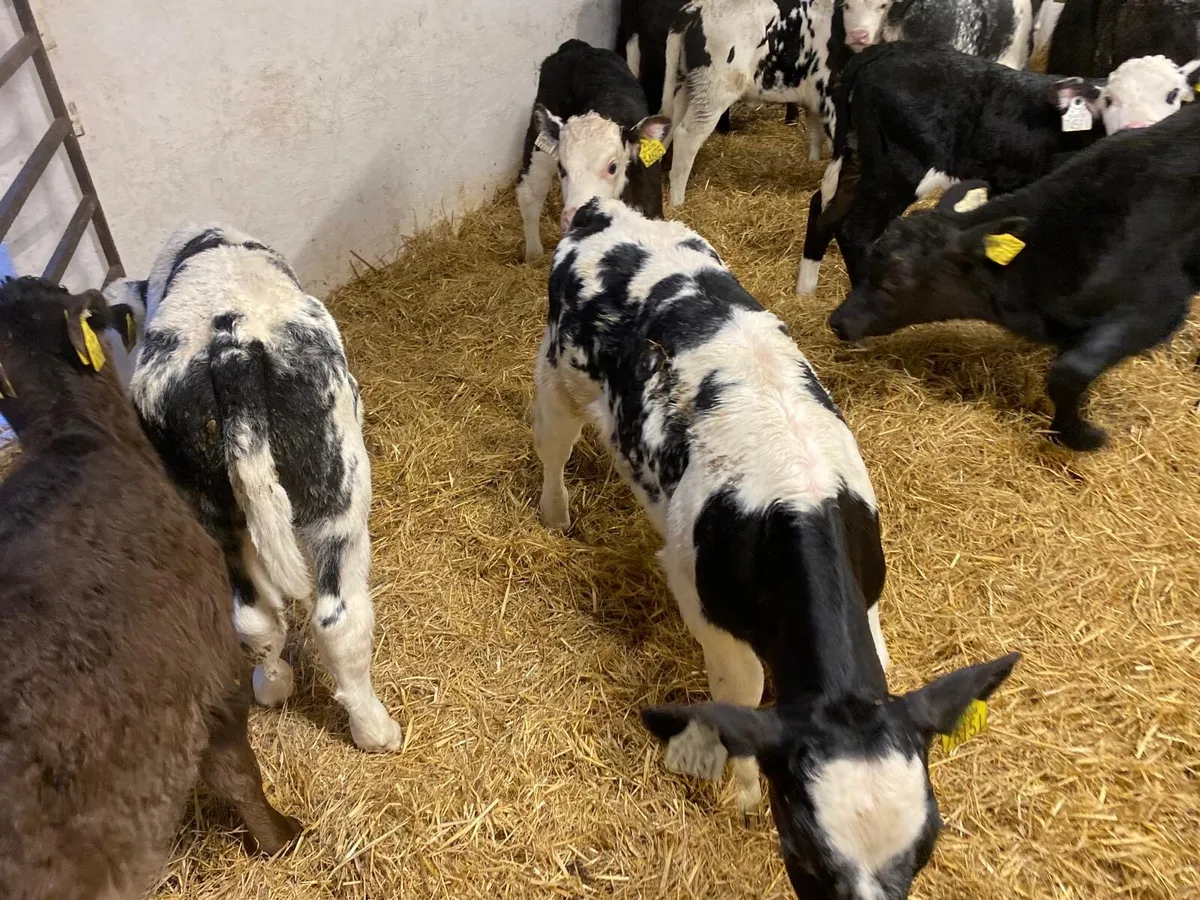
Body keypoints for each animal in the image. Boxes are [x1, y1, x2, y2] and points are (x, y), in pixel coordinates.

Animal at [107, 224, 405, 753]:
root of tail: (231, 346)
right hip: (336, 485)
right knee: (339, 618)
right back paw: (375, 730)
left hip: (204, 504)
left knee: (253, 619)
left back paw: (272, 686)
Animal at [517, 39, 671, 263]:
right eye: (562, 168)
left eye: (612, 167)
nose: (576, 218)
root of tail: (577, 46)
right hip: (536, 144)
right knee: (530, 194)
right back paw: (533, 255)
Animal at [533, 196, 1020, 897]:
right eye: (805, 854)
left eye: (926, 848)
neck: (798, 503)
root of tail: (609, 211)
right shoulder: (708, 612)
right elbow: (743, 696)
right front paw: (740, 795)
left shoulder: (870, 603)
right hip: (557, 376)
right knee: (554, 447)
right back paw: (555, 515)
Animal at [796, 44, 1200, 295]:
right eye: (1110, 100)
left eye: (1173, 95)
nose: (1141, 131)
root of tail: (881, 52)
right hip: (899, 167)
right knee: (856, 229)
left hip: (856, 156)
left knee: (824, 207)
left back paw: (806, 289)